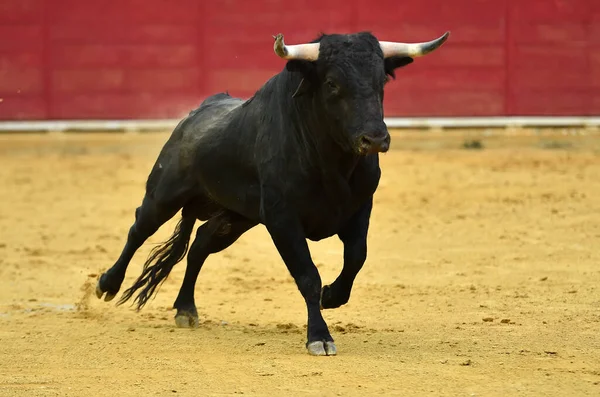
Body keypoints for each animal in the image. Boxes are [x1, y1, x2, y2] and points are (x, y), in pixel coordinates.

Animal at [96, 29, 448, 354]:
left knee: (200, 243)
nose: (374, 139)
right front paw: (319, 336)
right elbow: (307, 275)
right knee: (139, 229)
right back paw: (107, 284)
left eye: (381, 82)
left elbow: (356, 258)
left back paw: (185, 309)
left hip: (236, 217)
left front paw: (332, 296)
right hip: (164, 194)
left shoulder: (359, 209)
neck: (331, 161)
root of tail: (195, 114)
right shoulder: (282, 219)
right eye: (332, 83)